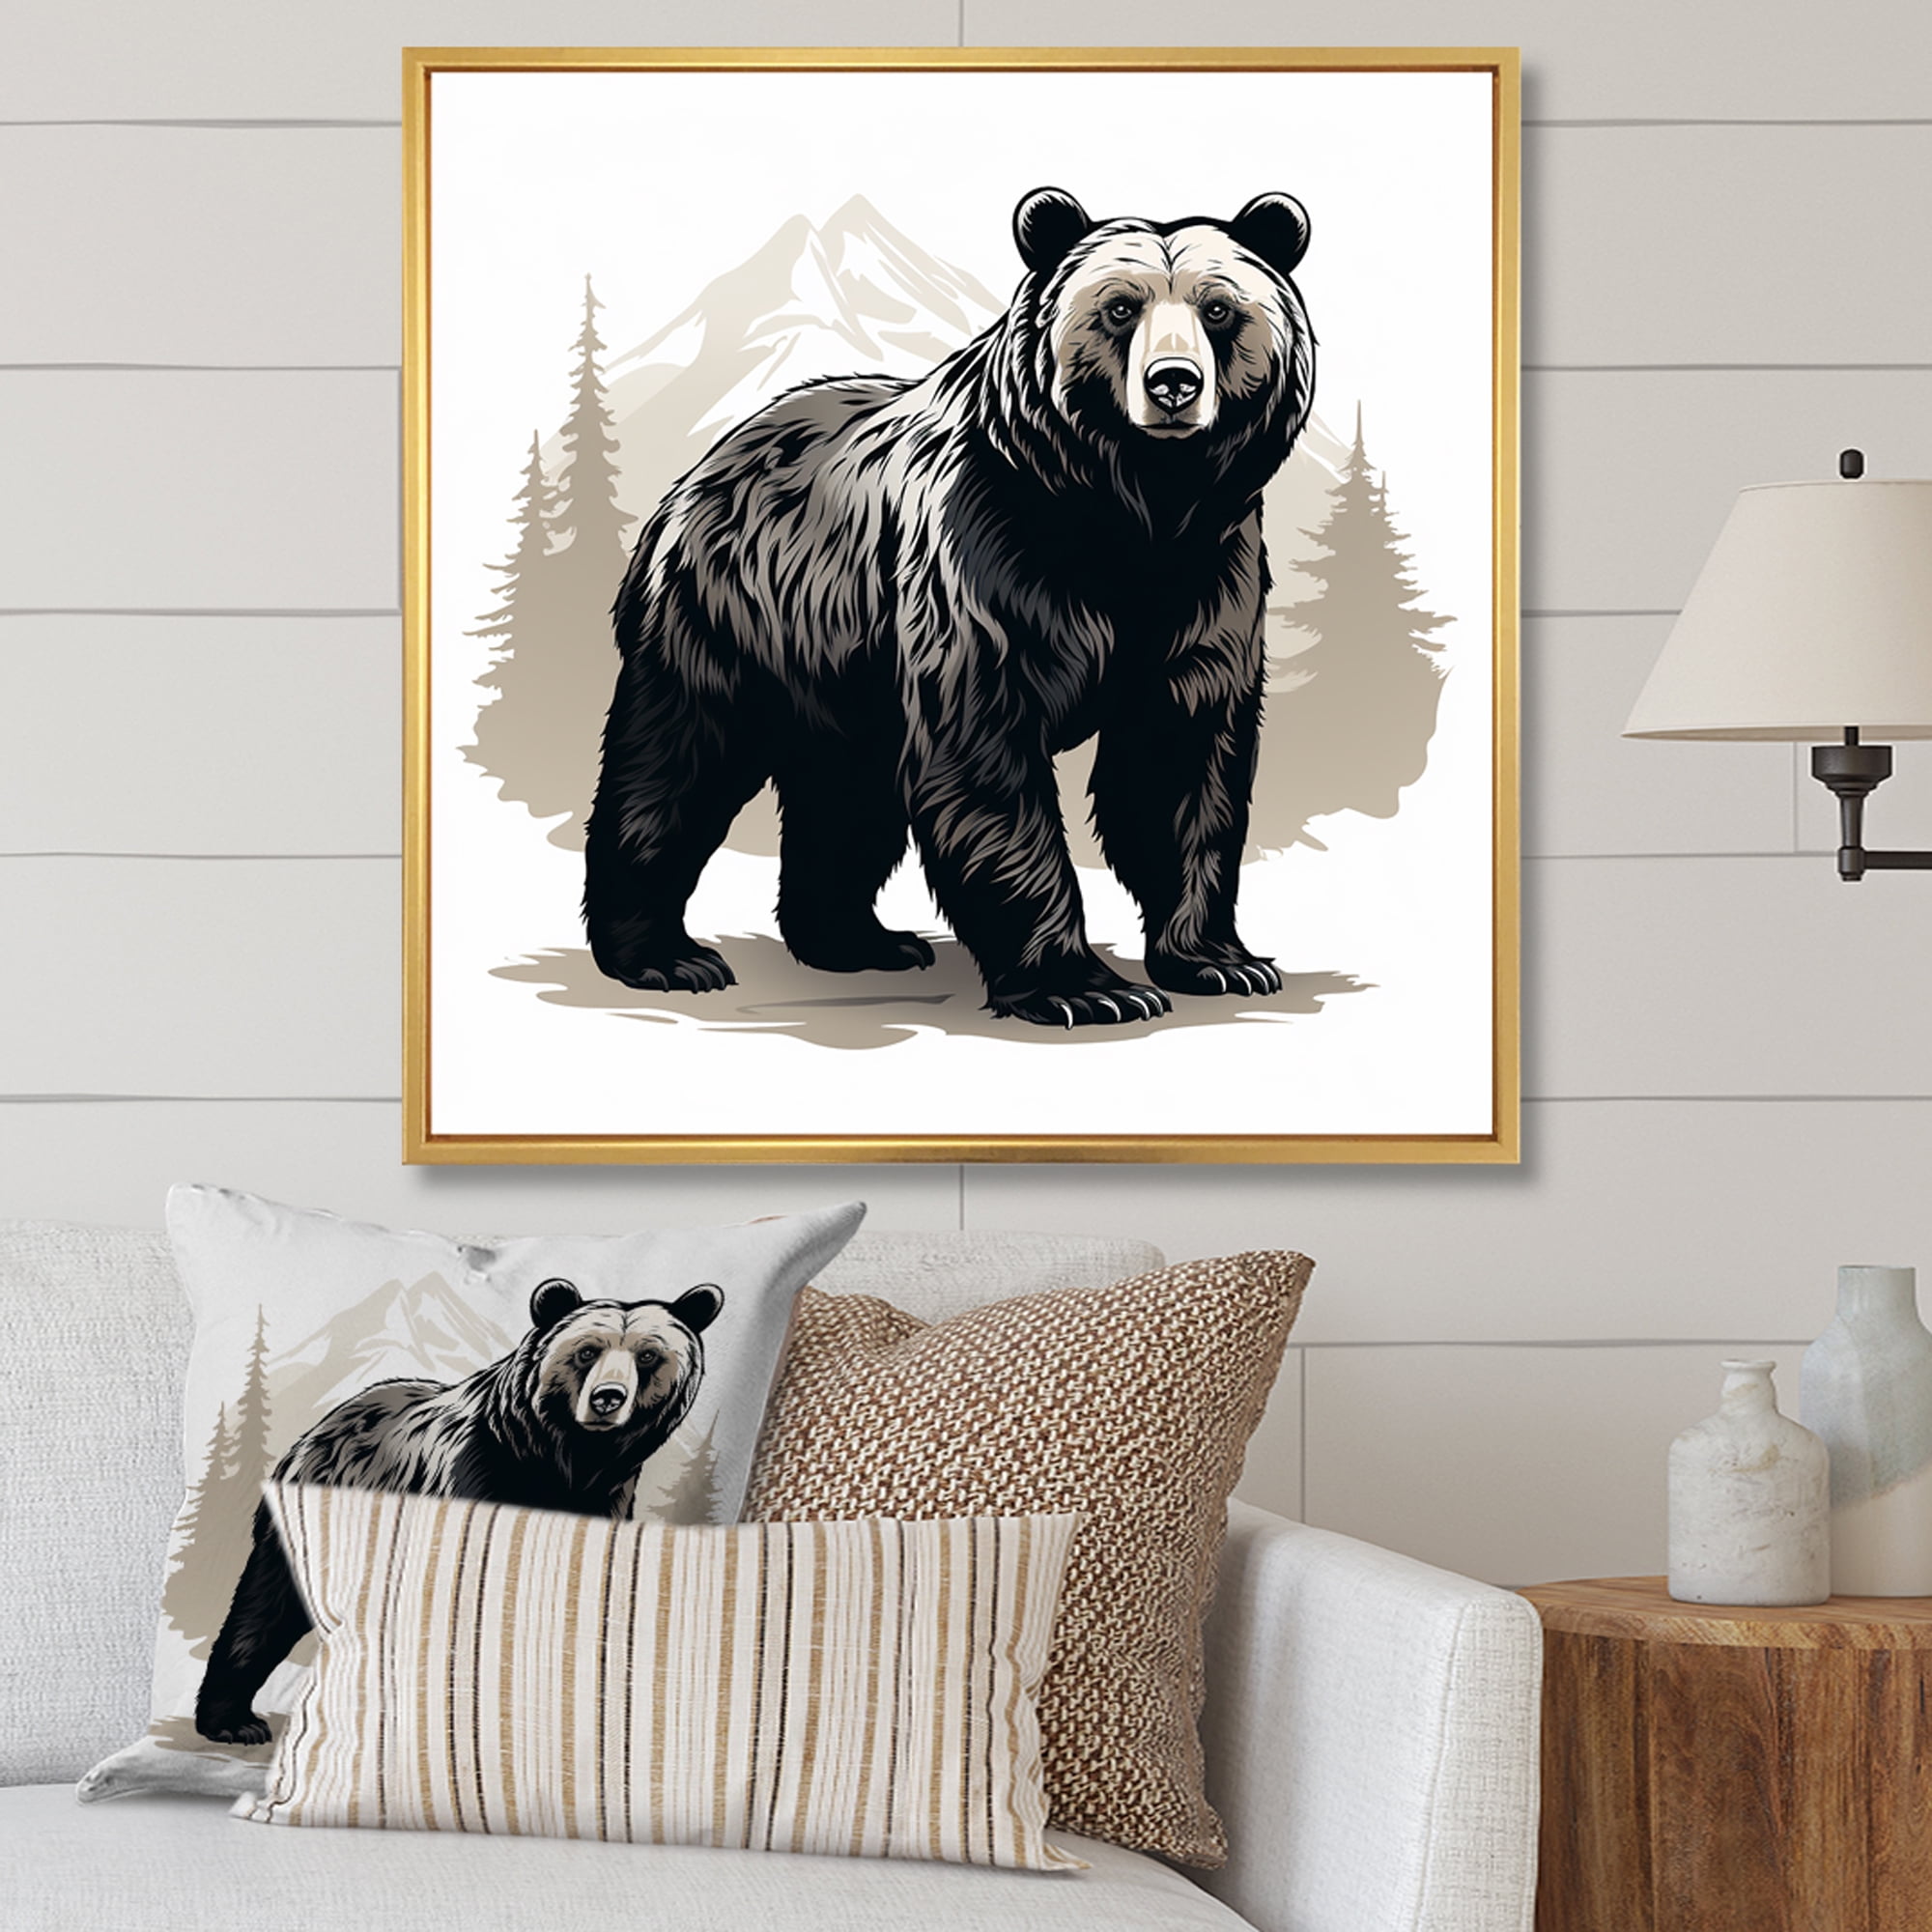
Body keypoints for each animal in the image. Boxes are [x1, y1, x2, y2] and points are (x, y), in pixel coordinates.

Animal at [194, 1276, 721, 1746]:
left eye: (648, 1355)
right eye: (587, 1351)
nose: (608, 1398)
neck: (564, 1463)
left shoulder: (603, 1503)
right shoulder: (476, 1477)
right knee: (267, 1604)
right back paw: (234, 1721)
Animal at [583, 185, 1316, 1029]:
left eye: (1219, 308)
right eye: (1120, 308)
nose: (1173, 383)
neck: (1132, 510)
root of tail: (707, 463)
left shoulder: (1204, 579)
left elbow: (1180, 756)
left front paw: (1222, 960)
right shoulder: (985, 562)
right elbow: (988, 753)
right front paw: (1085, 986)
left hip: (846, 670)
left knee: (847, 796)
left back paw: (859, 940)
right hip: (731, 614)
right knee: (679, 760)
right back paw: (664, 955)